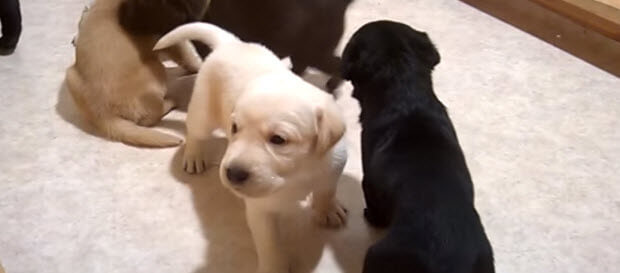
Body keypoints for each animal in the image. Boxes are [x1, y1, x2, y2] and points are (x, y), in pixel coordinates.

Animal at [65, 0, 202, 147]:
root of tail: (101, 112)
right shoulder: (170, 37)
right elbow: (187, 55)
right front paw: (199, 65)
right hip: (155, 70)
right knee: (150, 118)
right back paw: (170, 102)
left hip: (70, 75)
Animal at [155, 22, 348, 272]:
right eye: (234, 127)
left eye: (278, 139)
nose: (233, 173)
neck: (298, 172)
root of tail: (231, 42)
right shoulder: (261, 210)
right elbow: (270, 245)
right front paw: (275, 267)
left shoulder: (334, 166)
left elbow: (327, 189)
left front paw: (328, 210)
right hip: (203, 110)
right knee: (196, 132)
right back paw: (194, 156)